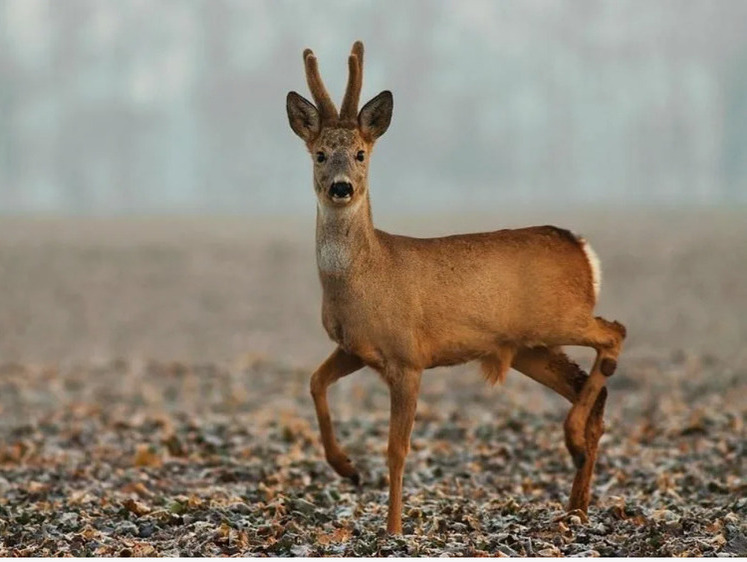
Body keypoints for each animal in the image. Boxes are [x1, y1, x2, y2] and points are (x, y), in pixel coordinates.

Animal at [286, 41, 624, 532]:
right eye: (320, 154)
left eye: (361, 153)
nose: (341, 188)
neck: (365, 279)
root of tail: (581, 248)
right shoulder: (355, 348)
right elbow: (314, 382)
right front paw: (346, 469)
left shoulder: (408, 357)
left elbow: (397, 449)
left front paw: (394, 529)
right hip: (531, 347)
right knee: (590, 392)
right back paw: (575, 503)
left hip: (561, 317)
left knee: (614, 333)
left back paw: (573, 443)